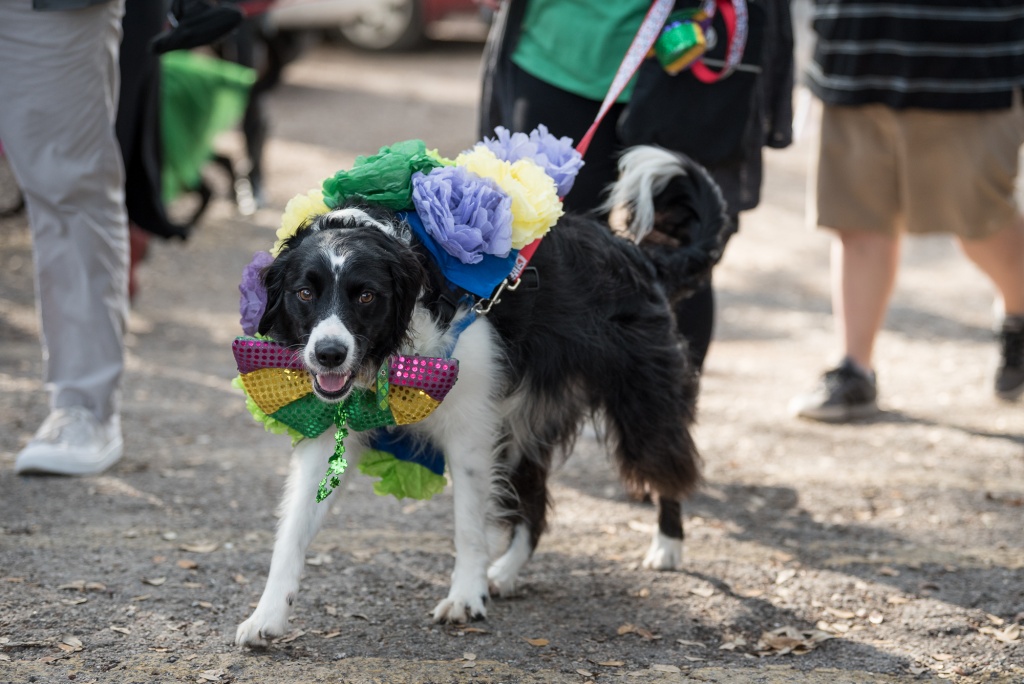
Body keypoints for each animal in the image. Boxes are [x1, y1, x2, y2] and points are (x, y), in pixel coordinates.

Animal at [234, 144, 729, 647]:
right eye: (304, 293)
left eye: (367, 296)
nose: (329, 354)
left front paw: (464, 598)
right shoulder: (328, 429)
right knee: (536, 509)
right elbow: (293, 529)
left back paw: (667, 546)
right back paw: (506, 573)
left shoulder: (470, 430)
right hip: (524, 427)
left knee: (670, 468)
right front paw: (267, 615)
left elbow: (469, 526)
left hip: (641, 406)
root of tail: (638, 256)